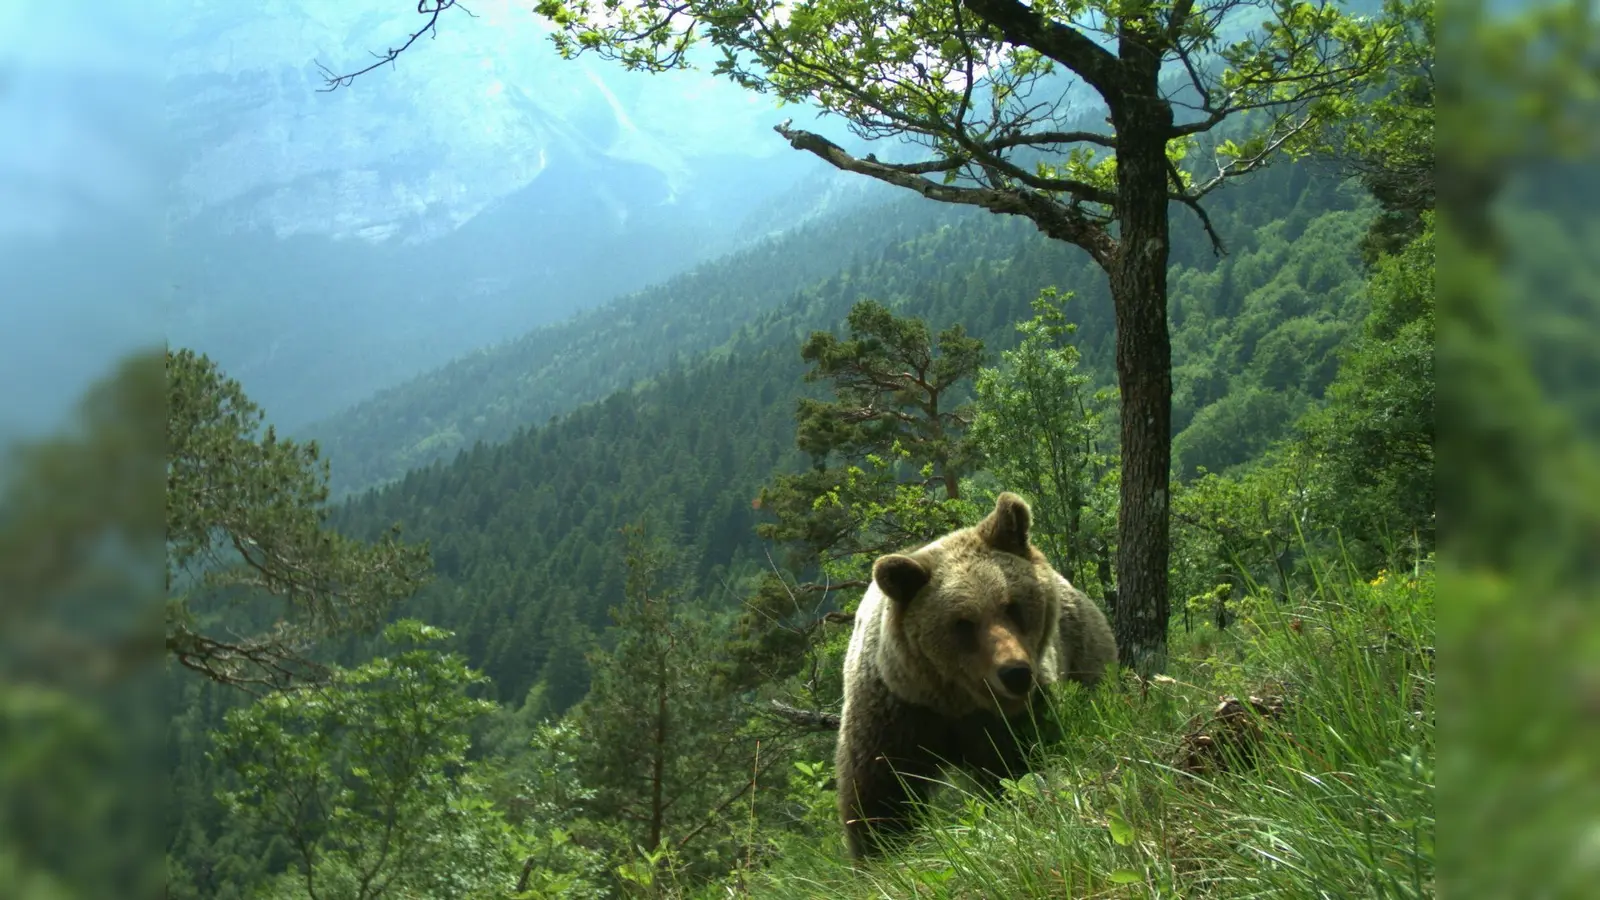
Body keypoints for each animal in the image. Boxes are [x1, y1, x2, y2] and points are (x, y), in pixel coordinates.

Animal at [838, 490, 1113, 851]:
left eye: (1012, 605)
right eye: (963, 623)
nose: (1016, 673)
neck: (957, 701)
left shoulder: (1015, 716)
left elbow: (1022, 765)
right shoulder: (897, 711)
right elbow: (881, 791)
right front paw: (883, 847)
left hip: (1084, 648)